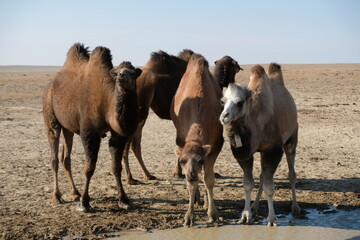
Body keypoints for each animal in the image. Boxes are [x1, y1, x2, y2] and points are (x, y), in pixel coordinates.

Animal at [43, 43, 141, 212]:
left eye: (133, 72)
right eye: (116, 73)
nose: (122, 77)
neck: (107, 102)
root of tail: (50, 84)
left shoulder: (117, 135)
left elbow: (116, 167)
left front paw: (124, 200)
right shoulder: (89, 133)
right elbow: (89, 168)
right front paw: (84, 203)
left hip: (68, 127)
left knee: (65, 158)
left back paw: (74, 193)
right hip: (50, 116)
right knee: (54, 156)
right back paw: (57, 197)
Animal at [120, 48, 194, 184]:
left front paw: (178, 172)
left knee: (135, 144)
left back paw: (147, 175)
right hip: (140, 111)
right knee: (129, 144)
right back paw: (130, 178)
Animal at [170, 53, 224, 226]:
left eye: (200, 160)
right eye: (182, 161)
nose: (191, 174)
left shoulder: (216, 143)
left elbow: (209, 178)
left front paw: (213, 214)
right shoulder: (181, 138)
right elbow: (192, 184)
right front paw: (189, 217)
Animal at [219, 62, 300, 226]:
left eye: (239, 102)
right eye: (222, 101)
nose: (224, 116)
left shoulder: (272, 150)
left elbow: (270, 186)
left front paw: (272, 219)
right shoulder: (245, 152)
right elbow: (248, 183)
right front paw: (246, 215)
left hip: (291, 138)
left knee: (291, 174)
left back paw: (295, 208)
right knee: (262, 176)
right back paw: (255, 207)